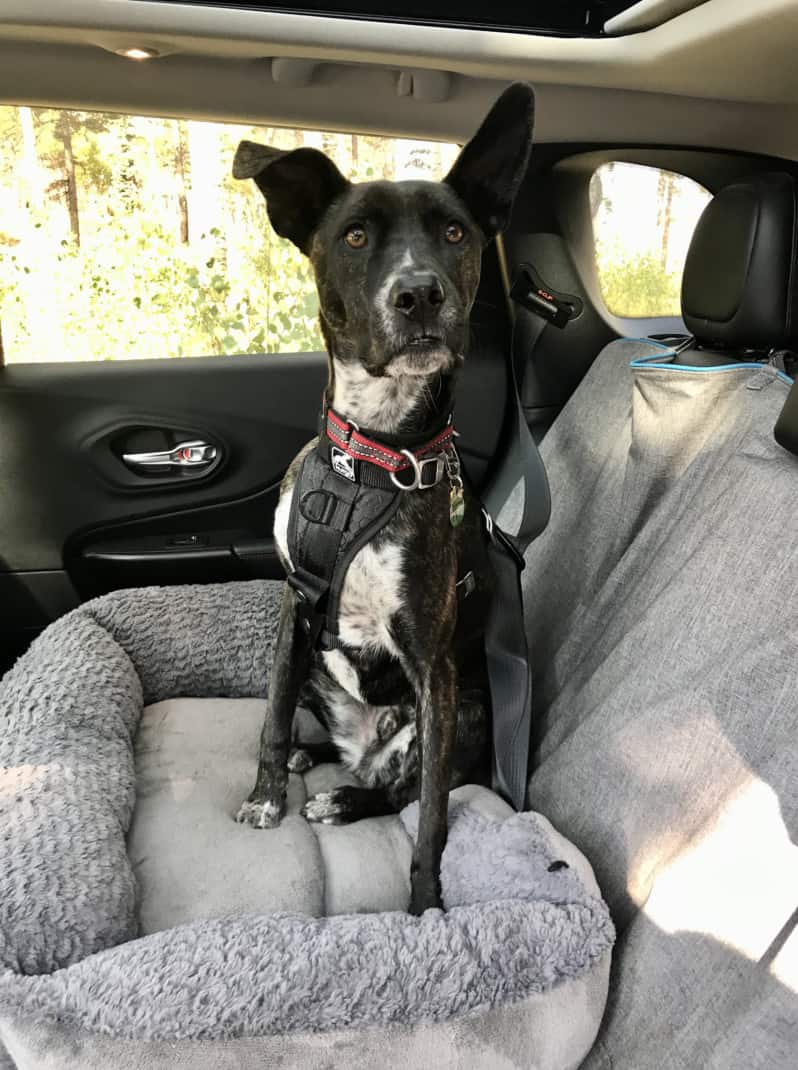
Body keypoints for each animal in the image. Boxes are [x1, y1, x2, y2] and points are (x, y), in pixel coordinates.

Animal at [233, 85, 530, 920]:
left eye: (456, 233)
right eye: (357, 235)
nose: (419, 294)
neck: (372, 459)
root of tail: (360, 748)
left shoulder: (433, 662)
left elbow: (431, 818)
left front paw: (425, 905)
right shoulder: (294, 607)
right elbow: (271, 713)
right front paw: (266, 792)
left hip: (459, 714)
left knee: (401, 789)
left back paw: (344, 798)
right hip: (318, 662)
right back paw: (311, 760)